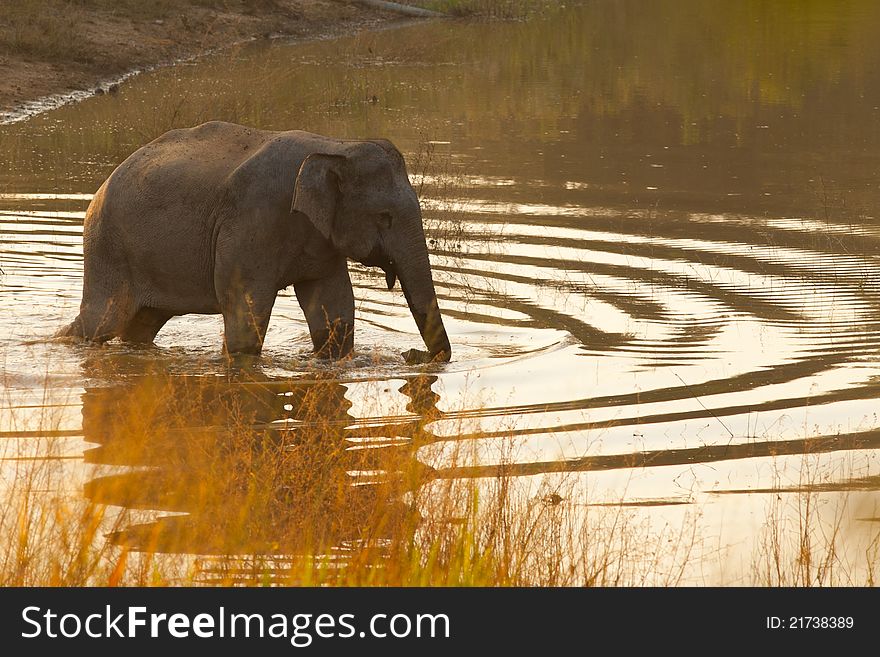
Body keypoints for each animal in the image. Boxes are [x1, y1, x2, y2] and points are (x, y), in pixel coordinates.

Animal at [55, 120, 450, 362]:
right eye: (384, 217)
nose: (411, 355)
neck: (336, 145)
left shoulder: (320, 239)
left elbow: (334, 309)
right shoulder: (251, 222)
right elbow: (246, 314)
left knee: (141, 323)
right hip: (109, 249)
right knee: (103, 320)